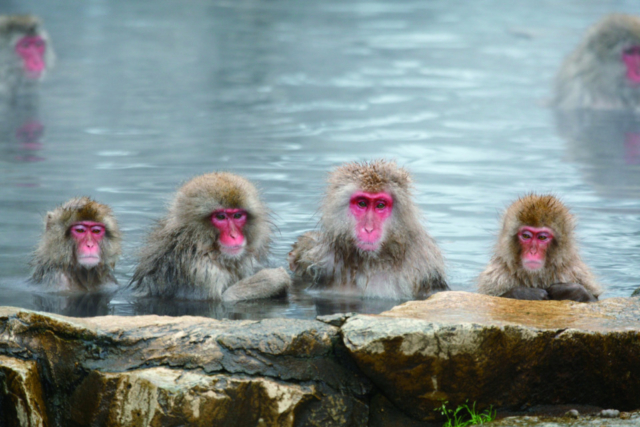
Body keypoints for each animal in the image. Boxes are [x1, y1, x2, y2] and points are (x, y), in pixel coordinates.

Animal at [131, 172, 292, 302]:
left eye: (237, 215)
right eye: (220, 217)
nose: (234, 235)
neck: (199, 245)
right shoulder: (199, 271)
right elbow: (219, 300)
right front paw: (272, 278)